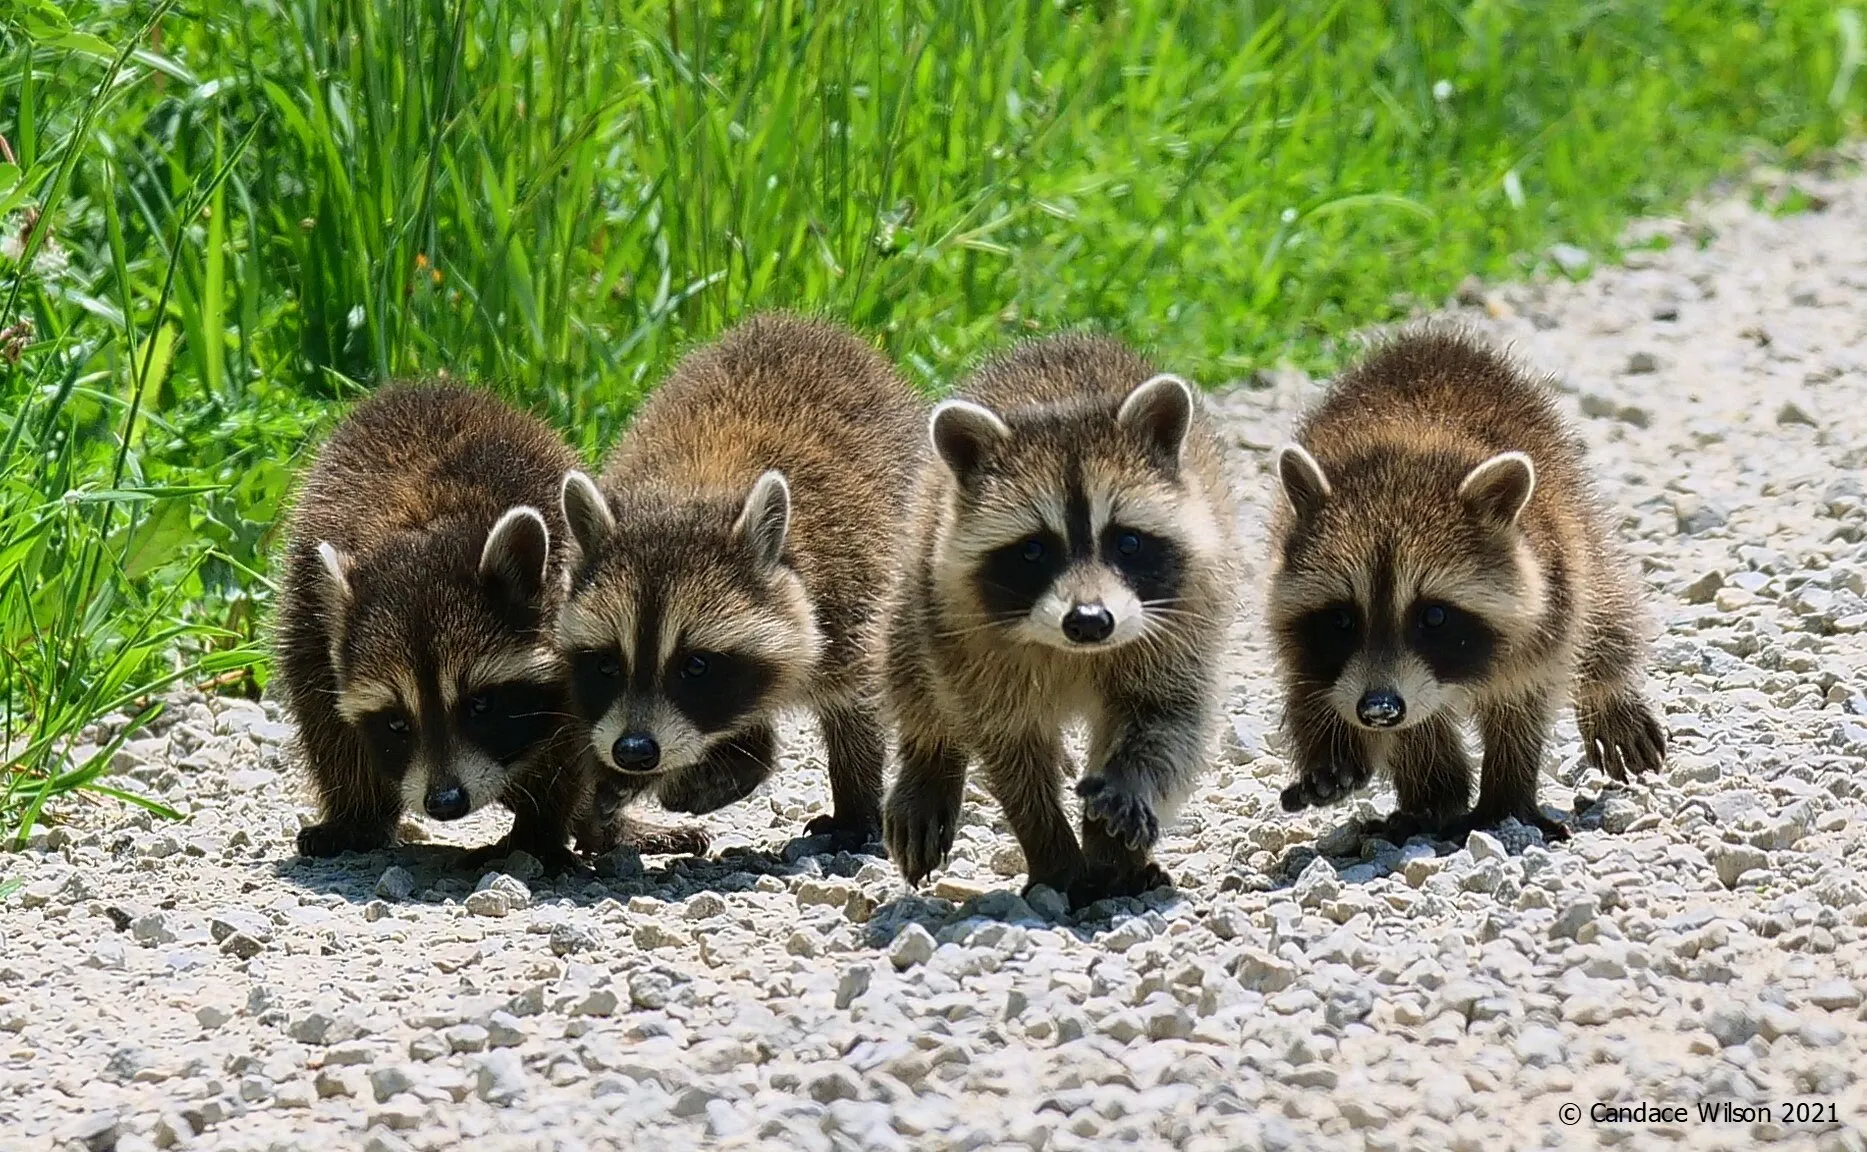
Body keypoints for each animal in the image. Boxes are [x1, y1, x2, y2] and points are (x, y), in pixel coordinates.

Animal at [274, 384, 703, 867]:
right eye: (396, 722)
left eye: (481, 704)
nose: (445, 802)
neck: (423, 523)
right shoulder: (310, 620)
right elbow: (328, 723)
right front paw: (357, 814)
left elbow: (569, 745)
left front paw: (539, 828)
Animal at [555, 314, 924, 850]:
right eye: (606, 664)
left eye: (696, 665)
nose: (634, 751)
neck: (693, 490)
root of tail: (797, 321)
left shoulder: (852, 595)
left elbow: (857, 705)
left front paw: (856, 799)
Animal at [880, 334, 1238, 907]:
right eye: (1033, 551)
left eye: (1127, 542)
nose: (1090, 621)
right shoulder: (966, 635)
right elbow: (1011, 750)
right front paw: (1051, 850)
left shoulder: (1184, 623)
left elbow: (1168, 720)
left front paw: (1119, 816)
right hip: (920, 567)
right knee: (908, 660)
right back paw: (928, 762)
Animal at [1269, 328, 1666, 843]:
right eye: (1341, 619)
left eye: (1434, 616)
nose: (1379, 709)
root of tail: (1429, 340)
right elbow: (1319, 692)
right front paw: (1348, 759)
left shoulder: (1550, 598)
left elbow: (1522, 701)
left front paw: (1507, 794)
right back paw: (1433, 795)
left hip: (1573, 512)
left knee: (1606, 604)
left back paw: (1610, 690)